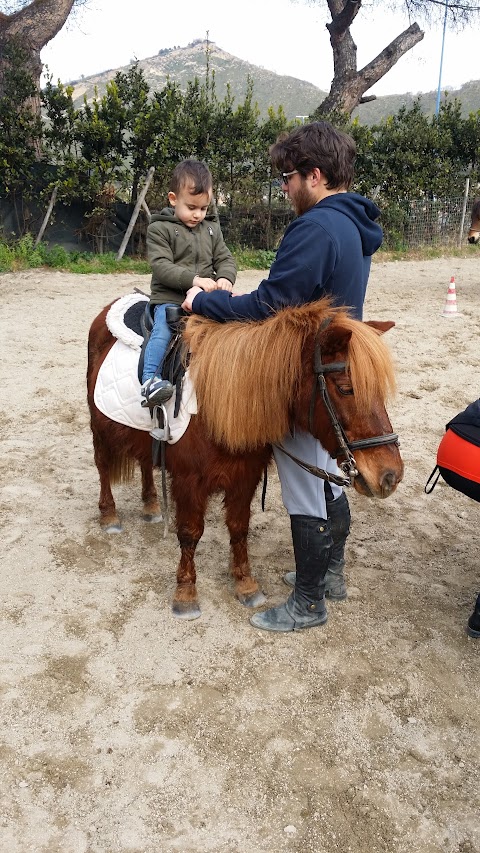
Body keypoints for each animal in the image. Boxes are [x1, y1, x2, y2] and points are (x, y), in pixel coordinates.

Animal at [87, 298, 404, 620]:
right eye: (345, 388)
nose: (390, 475)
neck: (221, 407)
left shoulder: (245, 476)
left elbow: (239, 529)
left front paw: (245, 583)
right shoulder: (189, 481)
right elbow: (189, 533)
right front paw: (186, 592)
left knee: (144, 463)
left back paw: (151, 504)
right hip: (99, 429)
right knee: (103, 466)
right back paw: (109, 515)